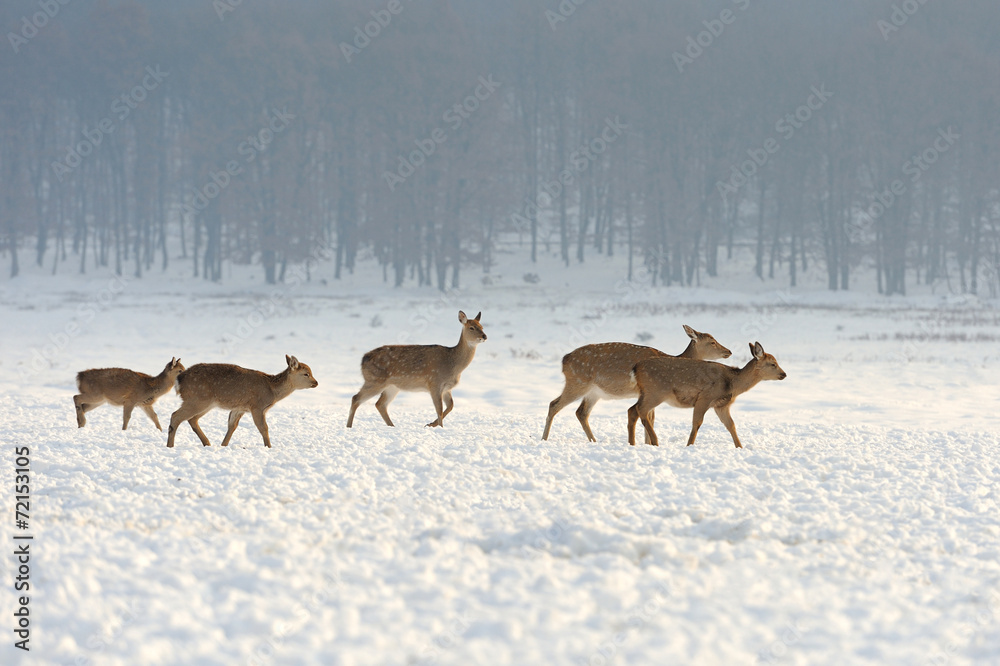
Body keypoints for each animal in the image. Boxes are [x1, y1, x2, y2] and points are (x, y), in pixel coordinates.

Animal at [166, 352, 318, 446]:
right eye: (306, 373)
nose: (316, 382)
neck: (272, 391)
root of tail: (179, 380)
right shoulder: (257, 406)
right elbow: (264, 428)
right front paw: (269, 447)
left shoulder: (240, 408)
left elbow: (232, 427)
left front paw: (223, 445)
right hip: (197, 399)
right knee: (176, 416)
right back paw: (170, 446)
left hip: (206, 403)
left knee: (192, 419)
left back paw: (207, 443)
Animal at [348, 310, 488, 428]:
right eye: (471, 327)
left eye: (482, 326)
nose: (484, 336)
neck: (453, 364)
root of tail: (363, 360)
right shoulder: (434, 382)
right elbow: (439, 409)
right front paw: (440, 427)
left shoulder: (447, 388)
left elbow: (450, 406)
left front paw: (431, 424)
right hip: (375, 380)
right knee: (356, 398)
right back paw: (349, 427)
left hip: (392, 386)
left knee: (380, 404)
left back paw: (392, 426)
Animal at [544, 322, 732, 440]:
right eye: (712, 342)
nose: (728, 351)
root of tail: (564, 360)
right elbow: (649, 417)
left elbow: (651, 417)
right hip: (577, 383)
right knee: (554, 404)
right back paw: (544, 439)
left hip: (594, 392)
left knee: (581, 412)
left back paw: (594, 440)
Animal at [628, 342, 784, 446]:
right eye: (772, 364)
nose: (784, 374)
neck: (732, 384)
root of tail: (636, 368)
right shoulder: (705, 397)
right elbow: (697, 423)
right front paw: (689, 445)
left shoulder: (721, 405)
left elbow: (731, 425)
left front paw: (740, 447)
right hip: (656, 392)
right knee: (641, 410)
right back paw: (655, 441)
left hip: (646, 393)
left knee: (632, 409)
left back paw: (633, 443)